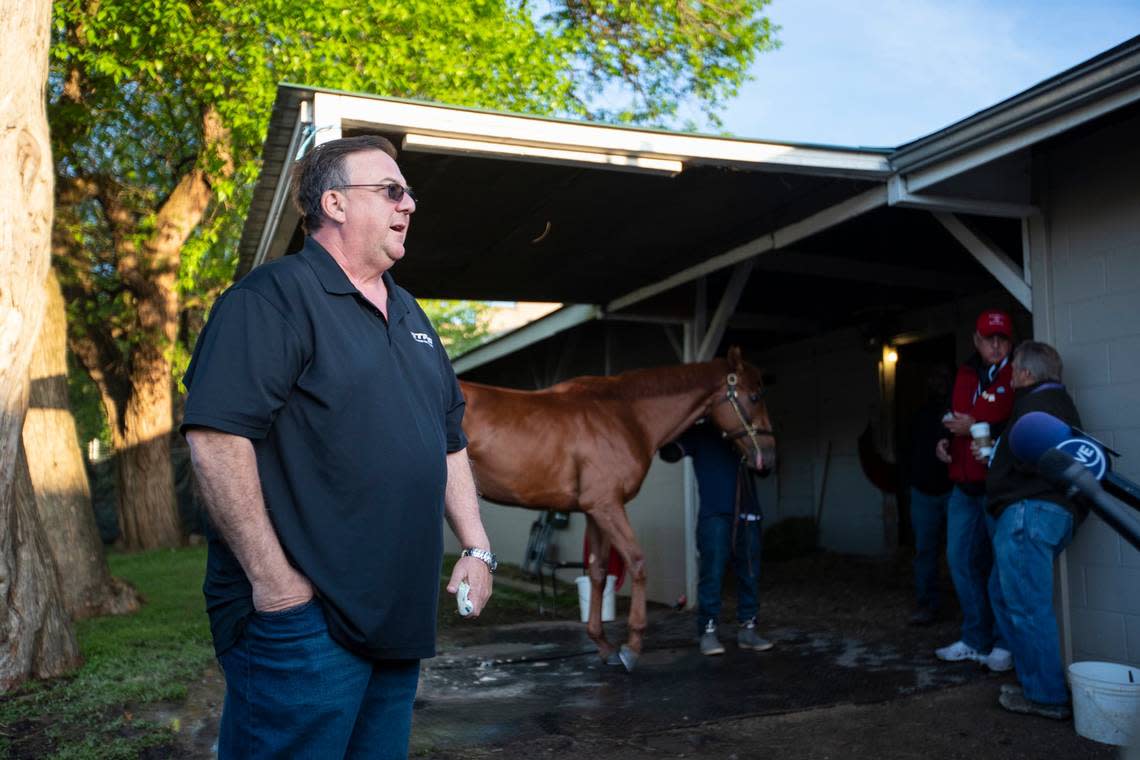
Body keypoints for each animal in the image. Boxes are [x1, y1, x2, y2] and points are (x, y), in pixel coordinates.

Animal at [460, 348, 775, 674]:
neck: (625, 414)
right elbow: (637, 562)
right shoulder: (607, 505)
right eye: (754, 396)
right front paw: (632, 647)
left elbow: (598, 572)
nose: (767, 457)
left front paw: (604, 646)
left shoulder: (594, 511)